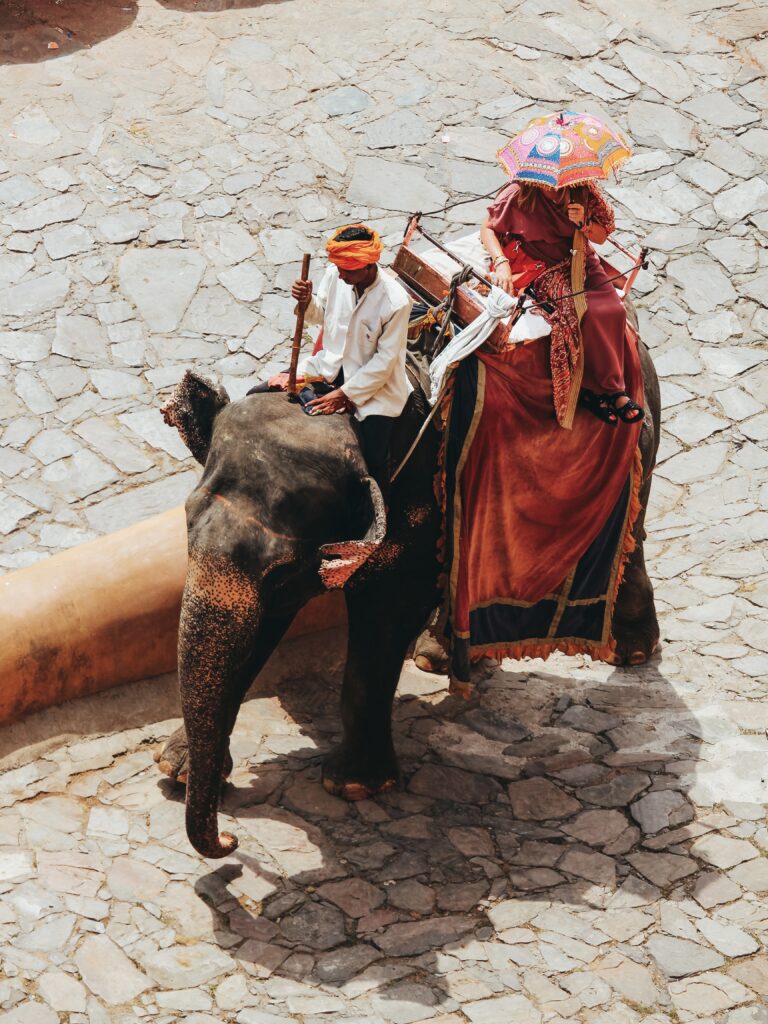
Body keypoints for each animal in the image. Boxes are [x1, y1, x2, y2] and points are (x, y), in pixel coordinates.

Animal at [156, 318, 660, 859]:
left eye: (283, 568)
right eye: (186, 524)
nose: (229, 840)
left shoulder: (417, 511)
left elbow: (385, 622)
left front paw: (354, 786)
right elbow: (259, 634)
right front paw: (178, 770)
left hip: (637, 442)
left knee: (632, 535)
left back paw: (630, 652)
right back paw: (436, 658)